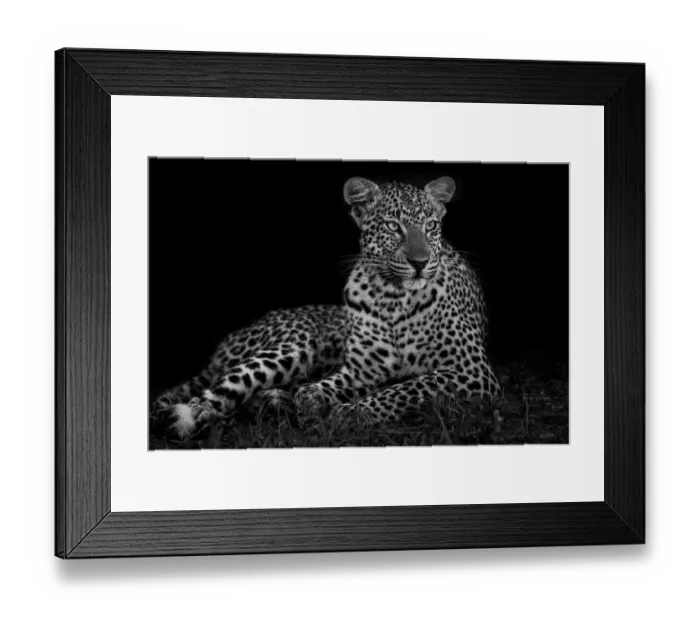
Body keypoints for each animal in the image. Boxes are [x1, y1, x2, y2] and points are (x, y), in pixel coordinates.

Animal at [150, 175, 501, 440]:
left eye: (430, 226)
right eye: (393, 226)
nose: (420, 262)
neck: (392, 299)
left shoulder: (471, 371)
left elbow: (407, 388)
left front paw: (348, 411)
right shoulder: (361, 370)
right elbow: (333, 387)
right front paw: (316, 401)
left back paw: (275, 402)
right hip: (294, 344)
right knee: (220, 390)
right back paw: (198, 415)